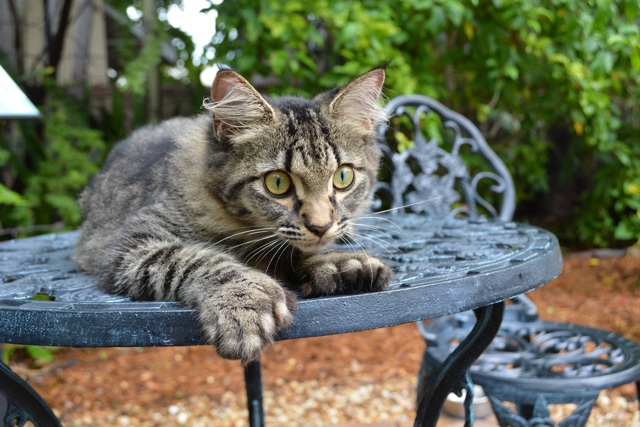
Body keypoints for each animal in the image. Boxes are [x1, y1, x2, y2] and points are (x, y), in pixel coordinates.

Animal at [75, 67, 396, 364]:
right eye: (277, 183)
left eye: (343, 177)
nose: (321, 226)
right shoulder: (133, 245)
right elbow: (198, 259)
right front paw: (245, 301)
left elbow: (294, 252)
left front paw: (340, 262)